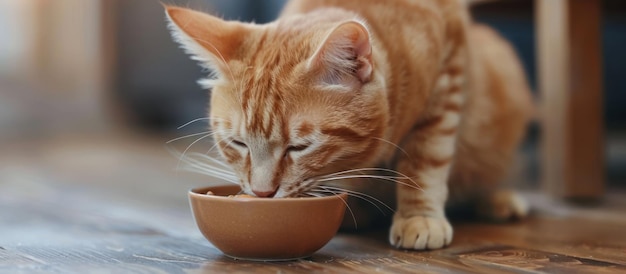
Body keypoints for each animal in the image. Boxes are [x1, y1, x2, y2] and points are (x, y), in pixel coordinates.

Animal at [165, 0, 532, 250]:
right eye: (238, 143)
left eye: (299, 147)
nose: (262, 193)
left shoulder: (448, 72)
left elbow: (425, 159)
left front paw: (419, 216)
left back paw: (499, 198)